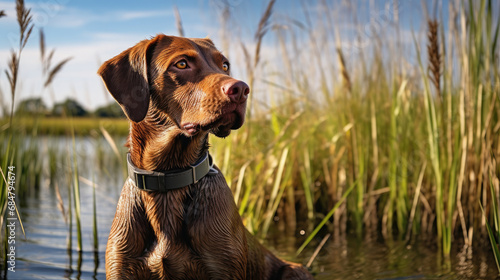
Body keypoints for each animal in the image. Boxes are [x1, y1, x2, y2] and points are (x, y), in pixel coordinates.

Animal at [97, 34, 312, 278]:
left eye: (225, 65)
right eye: (182, 64)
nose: (241, 89)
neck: (168, 178)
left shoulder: (224, 267)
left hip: (296, 271)